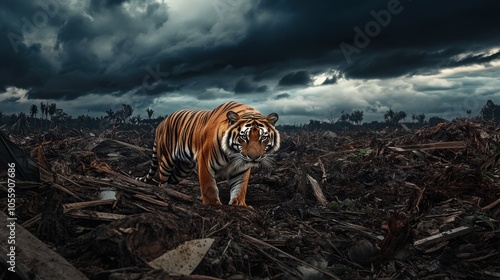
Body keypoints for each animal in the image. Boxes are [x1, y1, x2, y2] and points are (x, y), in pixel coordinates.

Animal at [137, 100, 280, 206]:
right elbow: (209, 186)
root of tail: (161, 123)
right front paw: (213, 204)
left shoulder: (242, 169)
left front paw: (238, 204)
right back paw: (163, 193)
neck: (233, 155)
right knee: (162, 179)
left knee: (172, 178)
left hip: (183, 169)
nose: (254, 157)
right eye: (244, 137)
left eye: (263, 137)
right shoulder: (205, 162)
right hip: (166, 160)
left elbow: (240, 188)